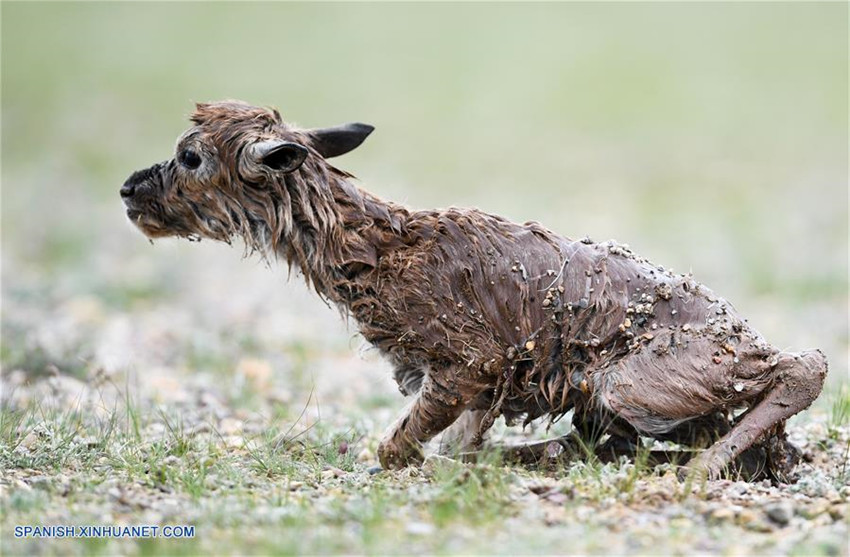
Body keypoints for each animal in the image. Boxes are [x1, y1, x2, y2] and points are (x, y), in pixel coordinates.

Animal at [122, 102, 824, 480]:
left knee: (802, 366)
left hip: (633, 381)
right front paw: (467, 460)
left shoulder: (470, 363)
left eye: (191, 156)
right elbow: (454, 438)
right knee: (623, 441)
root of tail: (744, 337)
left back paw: (697, 470)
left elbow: (399, 447)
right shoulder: (479, 386)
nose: (129, 190)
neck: (381, 251)